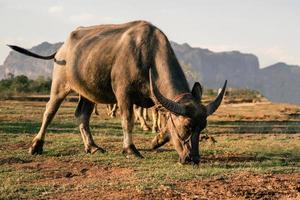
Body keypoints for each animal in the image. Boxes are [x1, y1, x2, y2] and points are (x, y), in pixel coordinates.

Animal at [8, 20, 226, 164]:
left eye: (202, 127)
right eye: (187, 127)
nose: (193, 158)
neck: (146, 54)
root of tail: (62, 48)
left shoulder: (154, 100)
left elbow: (163, 120)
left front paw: (156, 140)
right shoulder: (123, 94)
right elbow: (127, 120)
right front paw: (131, 149)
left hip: (87, 92)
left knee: (82, 115)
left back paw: (92, 147)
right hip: (60, 85)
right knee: (49, 112)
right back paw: (36, 146)